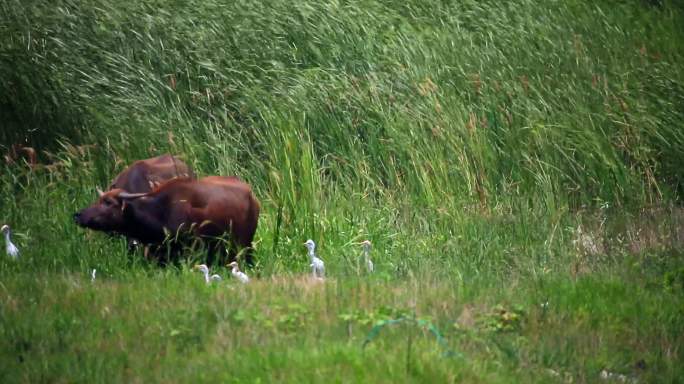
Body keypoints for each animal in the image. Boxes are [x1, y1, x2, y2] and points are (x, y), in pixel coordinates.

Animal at [75, 176, 260, 266]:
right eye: (99, 199)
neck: (160, 212)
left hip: (244, 244)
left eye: (108, 202)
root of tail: (252, 197)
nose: (78, 215)